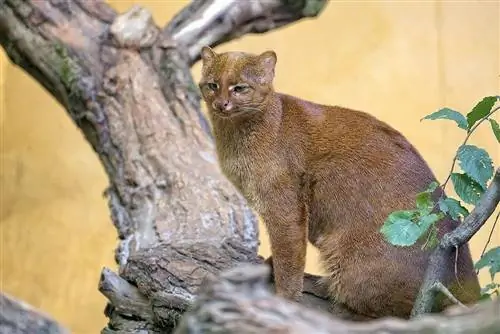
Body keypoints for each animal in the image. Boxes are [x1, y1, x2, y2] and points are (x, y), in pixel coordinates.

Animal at [198, 46, 480, 318]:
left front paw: (284, 299)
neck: (234, 139)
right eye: (212, 85)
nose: (221, 104)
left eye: (239, 87)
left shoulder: (284, 208)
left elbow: (289, 259)